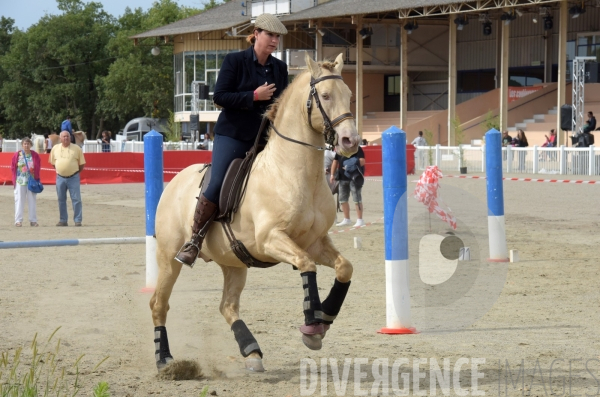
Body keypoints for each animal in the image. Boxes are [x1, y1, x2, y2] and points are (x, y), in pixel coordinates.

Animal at [150, 52, 360, 372]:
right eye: (325, 96)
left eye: (348, 95)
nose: (350, 142)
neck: (295, 173)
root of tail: (174, 182)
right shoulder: (272, 239)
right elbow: (307, 264)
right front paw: (312, 327)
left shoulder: (314, 241)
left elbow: (344, 268)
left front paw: (323, 318)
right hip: (169, 257)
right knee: (159, 304)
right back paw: (165, 360)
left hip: (234, 263)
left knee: (227, 306)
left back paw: (251, 351)